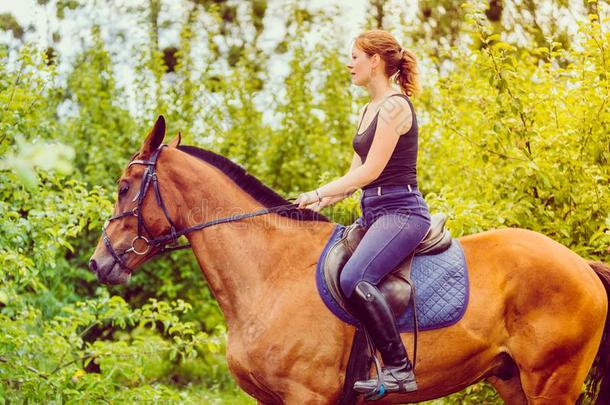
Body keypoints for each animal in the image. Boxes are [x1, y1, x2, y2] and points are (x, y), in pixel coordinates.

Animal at [88, 115, 608, 402]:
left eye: (124, 188)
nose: (99, 262)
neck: (270, 273)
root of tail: (581, 265)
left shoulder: (306, 396)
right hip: (510, 379)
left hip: (551, 383)